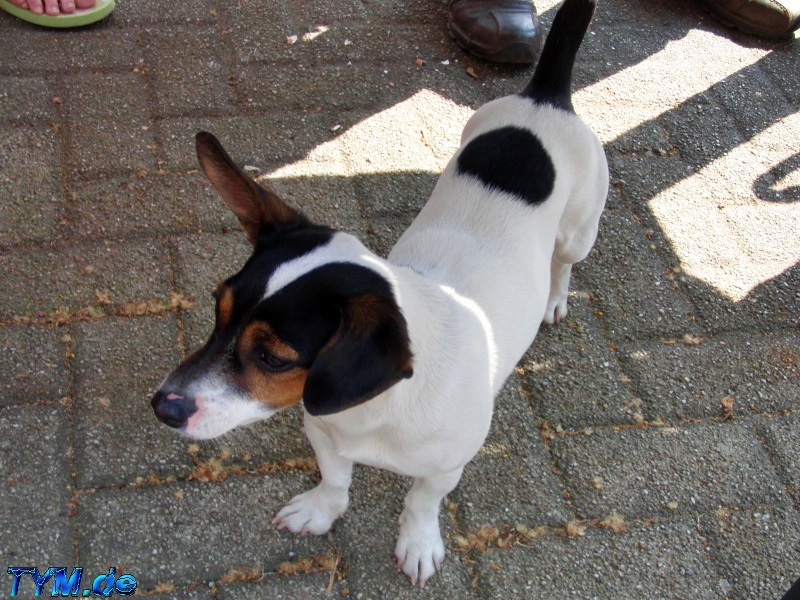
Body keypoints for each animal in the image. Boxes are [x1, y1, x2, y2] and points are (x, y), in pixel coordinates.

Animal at [152, 0, 608, 588]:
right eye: (217, 308)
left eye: (273, 358)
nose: (162, 407)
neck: (373, 413)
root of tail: (544, 97)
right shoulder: (323, 433)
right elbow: (335, 481)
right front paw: (321, 510)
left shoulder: (446, 468)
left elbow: (421, 502)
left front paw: (418, 542)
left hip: (580, 230)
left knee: (564, 262)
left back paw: (553, 299)